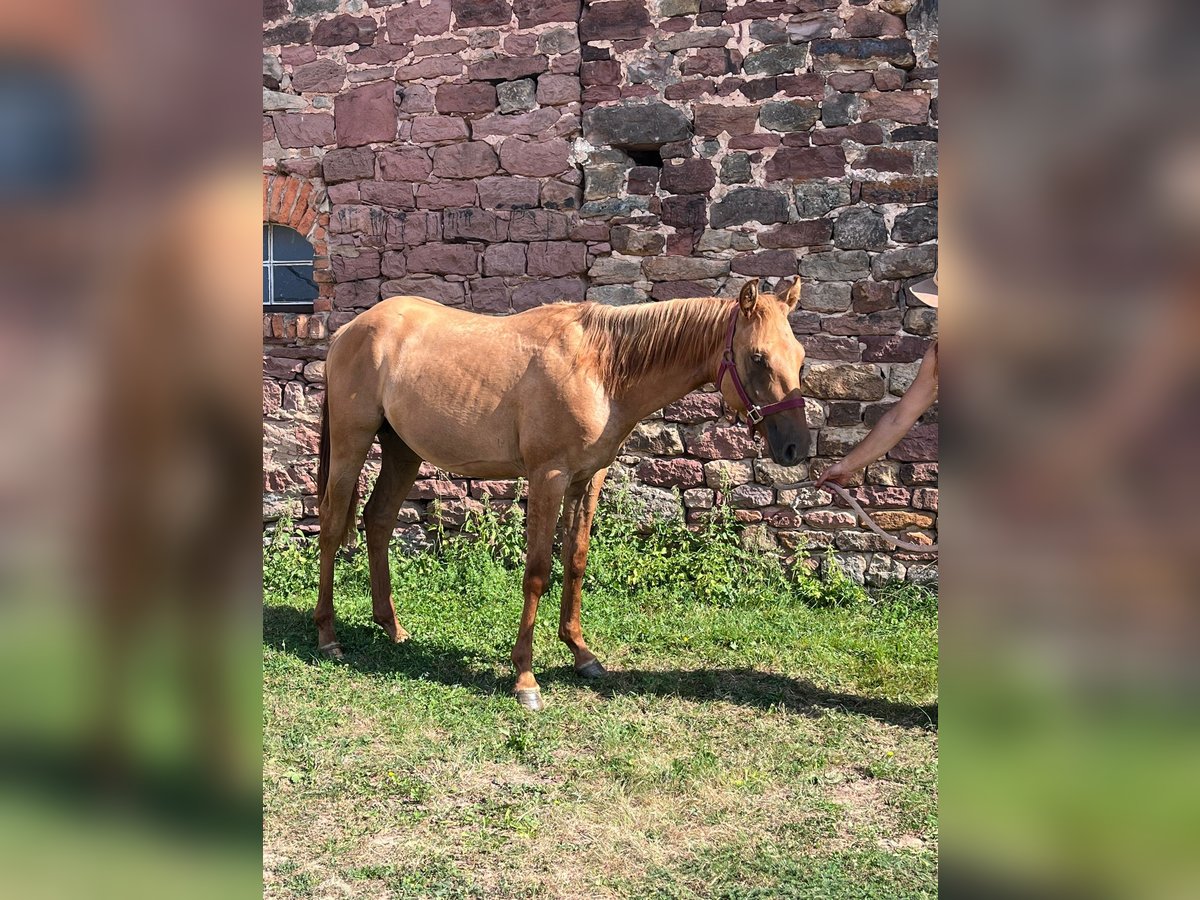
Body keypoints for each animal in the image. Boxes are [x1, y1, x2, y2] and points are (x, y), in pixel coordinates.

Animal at [314, 277, 811, 710]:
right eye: (758, 358)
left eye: (800, 357)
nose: (796, 448)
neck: (600, 368)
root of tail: (347, 332)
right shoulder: (548, 477)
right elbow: (537, 572)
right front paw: (525, 679)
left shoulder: (587, 479)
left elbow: (576, 559)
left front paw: (581, 653)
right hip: (352, 444)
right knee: (332, 526)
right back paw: (328, 636)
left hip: (402, 451)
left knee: (378, 520)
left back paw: (392, 627)